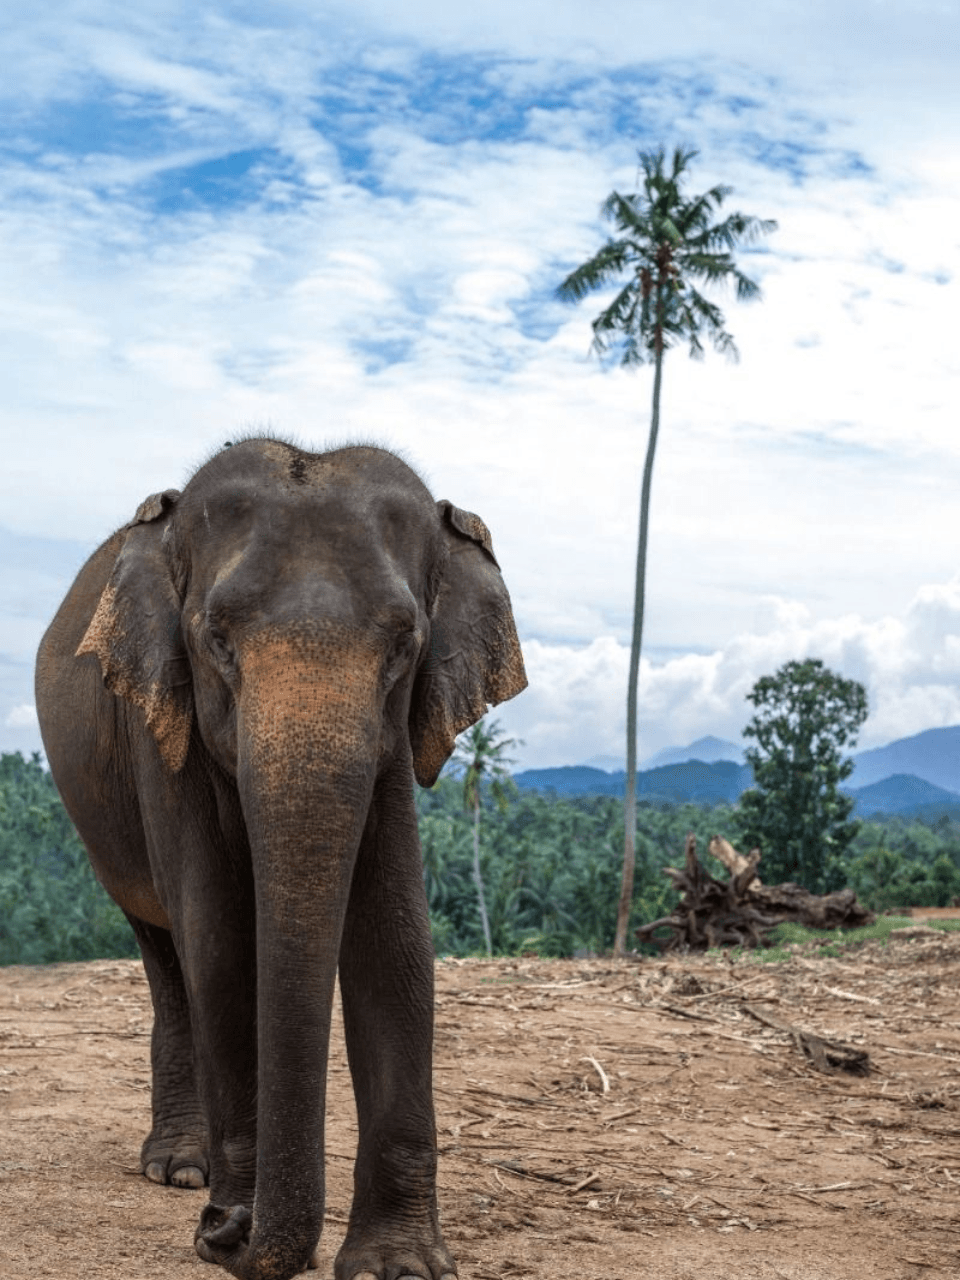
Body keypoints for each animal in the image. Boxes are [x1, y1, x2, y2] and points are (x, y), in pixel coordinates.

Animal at [35, 438, 527, 1280]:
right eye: (216, 639)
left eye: (405, 643)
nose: (222, 1228)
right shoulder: (163, 728)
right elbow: (220, 940)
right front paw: (233, 1206)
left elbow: (395, 942)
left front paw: (397, 1266)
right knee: (166, 953)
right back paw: (181, 1168)